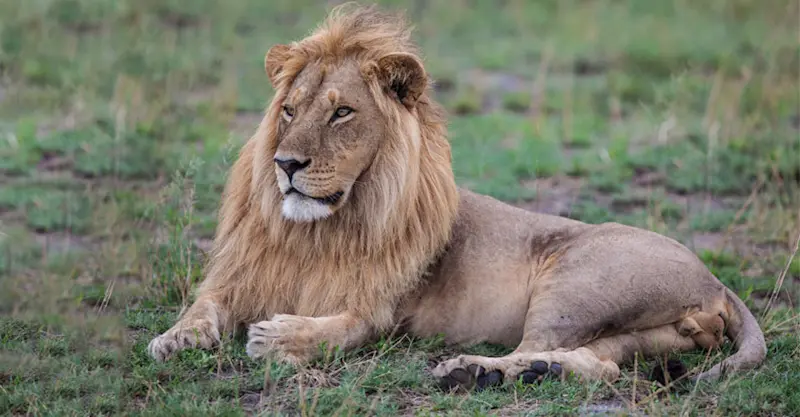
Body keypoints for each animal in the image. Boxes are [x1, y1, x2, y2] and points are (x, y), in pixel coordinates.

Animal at [148, 4, 766, 390]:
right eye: (289, 111)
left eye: (342, 112)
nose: (286, 165)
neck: (319, 230)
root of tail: (716, 280)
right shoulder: (242, 275)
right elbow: (203, 306)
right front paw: (174, 339)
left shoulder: (379, 310)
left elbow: (338, 331)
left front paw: (278, 336)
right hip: (639, 335)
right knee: (603, 366)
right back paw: (526, 375)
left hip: (573, 283)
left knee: (539, 347)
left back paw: (470, 370)